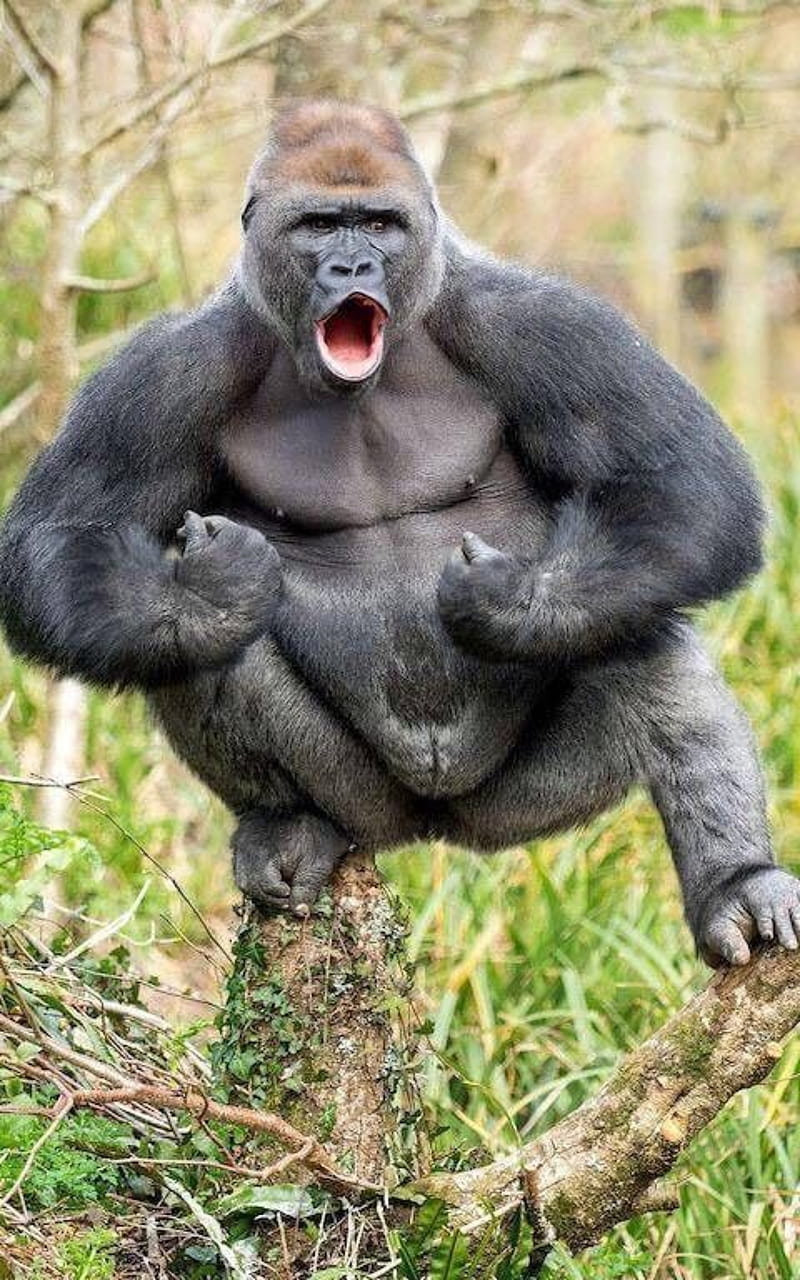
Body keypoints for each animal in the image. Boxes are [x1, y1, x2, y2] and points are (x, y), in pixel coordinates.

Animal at [1, 99, 797, 967]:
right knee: (196, 647)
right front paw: (212, 594)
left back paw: (737, 881)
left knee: (637, 622)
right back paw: (285, 818)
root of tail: (436, 827)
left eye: (380, 224)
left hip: (522, 805)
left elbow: (682, 482)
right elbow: (64, 537)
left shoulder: (545, 322)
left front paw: (511, 602)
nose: (351, 268)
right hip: (364, 807)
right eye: (319, 225)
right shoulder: (167, 369)